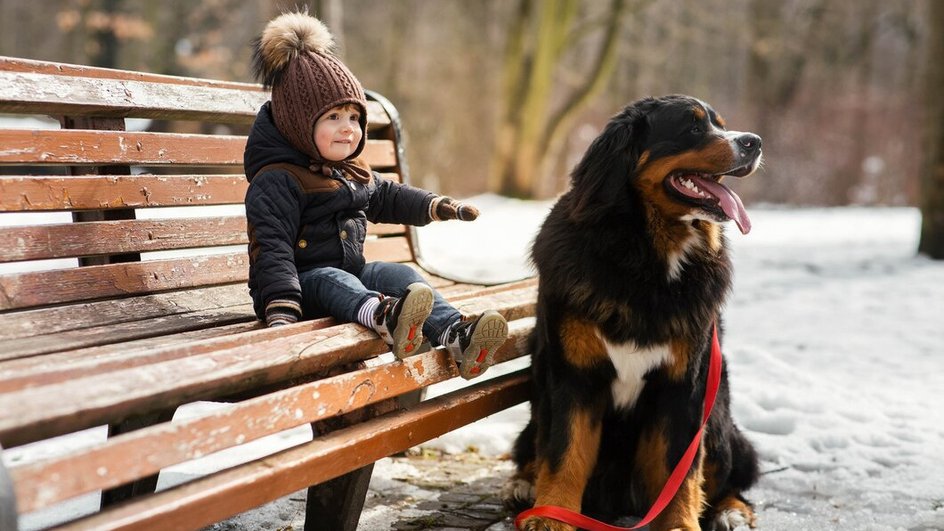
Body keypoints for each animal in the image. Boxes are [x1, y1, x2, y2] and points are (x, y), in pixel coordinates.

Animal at [506, 95, 764, 531]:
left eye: (721, 124)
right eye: (693, 127)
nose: (754, 142)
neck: (645, 258)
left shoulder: (685, 384)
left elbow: (681, 468)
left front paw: (680, 523)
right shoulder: (573, 376)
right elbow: (563, 454)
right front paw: (551, 516)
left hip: (718, 412)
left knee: (728, 479)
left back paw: (731, 511)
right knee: (533, 450)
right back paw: (523, 485)